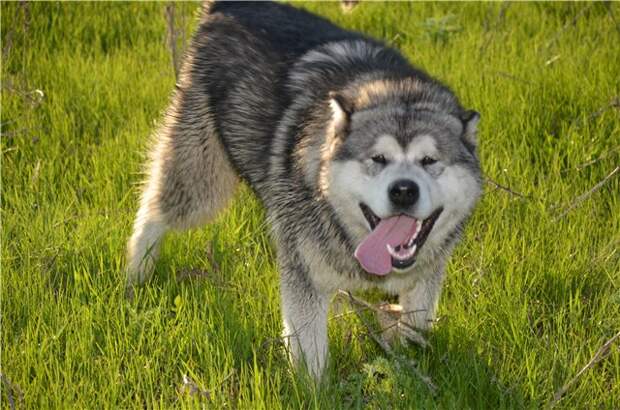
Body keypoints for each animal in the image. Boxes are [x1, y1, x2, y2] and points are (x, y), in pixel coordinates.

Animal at [126, 0, 482, 378]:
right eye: (378, 158)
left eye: (429, 160)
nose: (403, 191)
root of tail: (228, 6)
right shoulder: (304, 274)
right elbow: (310, 348)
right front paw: (314, 386)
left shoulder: (426, 276)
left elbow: (415, 325)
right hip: (200, 182)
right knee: (155, 209)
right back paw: (136, 273)